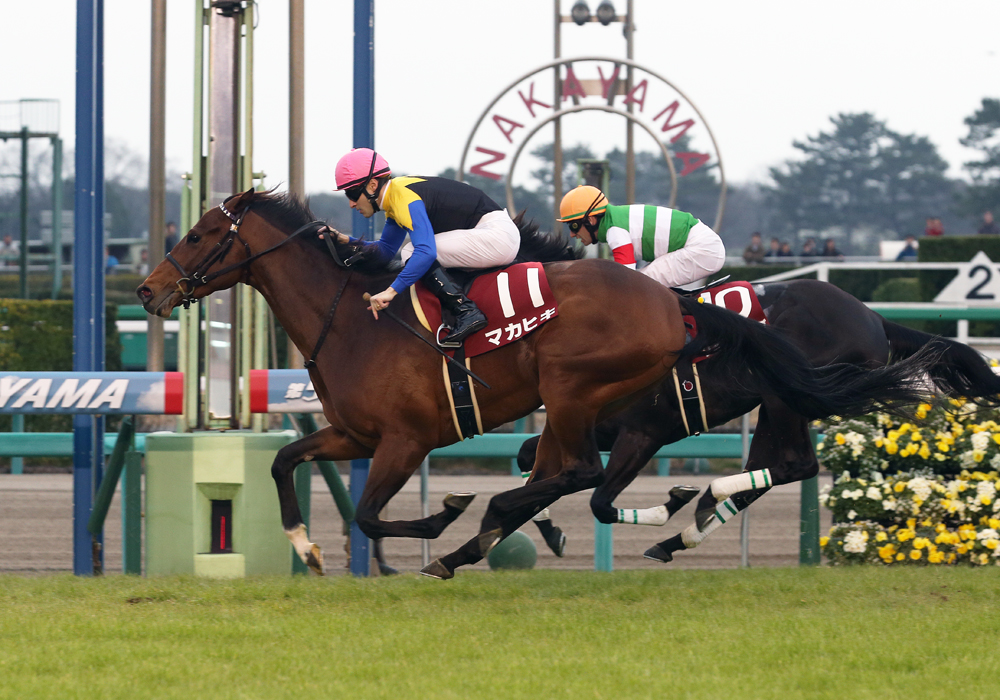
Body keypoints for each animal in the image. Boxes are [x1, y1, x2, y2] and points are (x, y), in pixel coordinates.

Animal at [137, 191, 932, 580]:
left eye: (202, 234)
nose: (148, 289)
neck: (357, 319)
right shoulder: (354, 434)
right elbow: (281, 461)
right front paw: (304, 548)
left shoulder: (405, 440)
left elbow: (370, 514)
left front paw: (441, 522)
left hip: (578, 386)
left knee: (585, 473)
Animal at [516, 278, 1000, 564]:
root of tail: (874, 317)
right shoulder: (592, 428)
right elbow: (528, 457)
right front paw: (548, 529)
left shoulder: (643, 432)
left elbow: (598, 499)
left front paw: (670, 501)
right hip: (783, 404)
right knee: (771, 471)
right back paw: (683, 533)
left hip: (786, 396)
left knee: (794, 465)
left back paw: (704, 501)